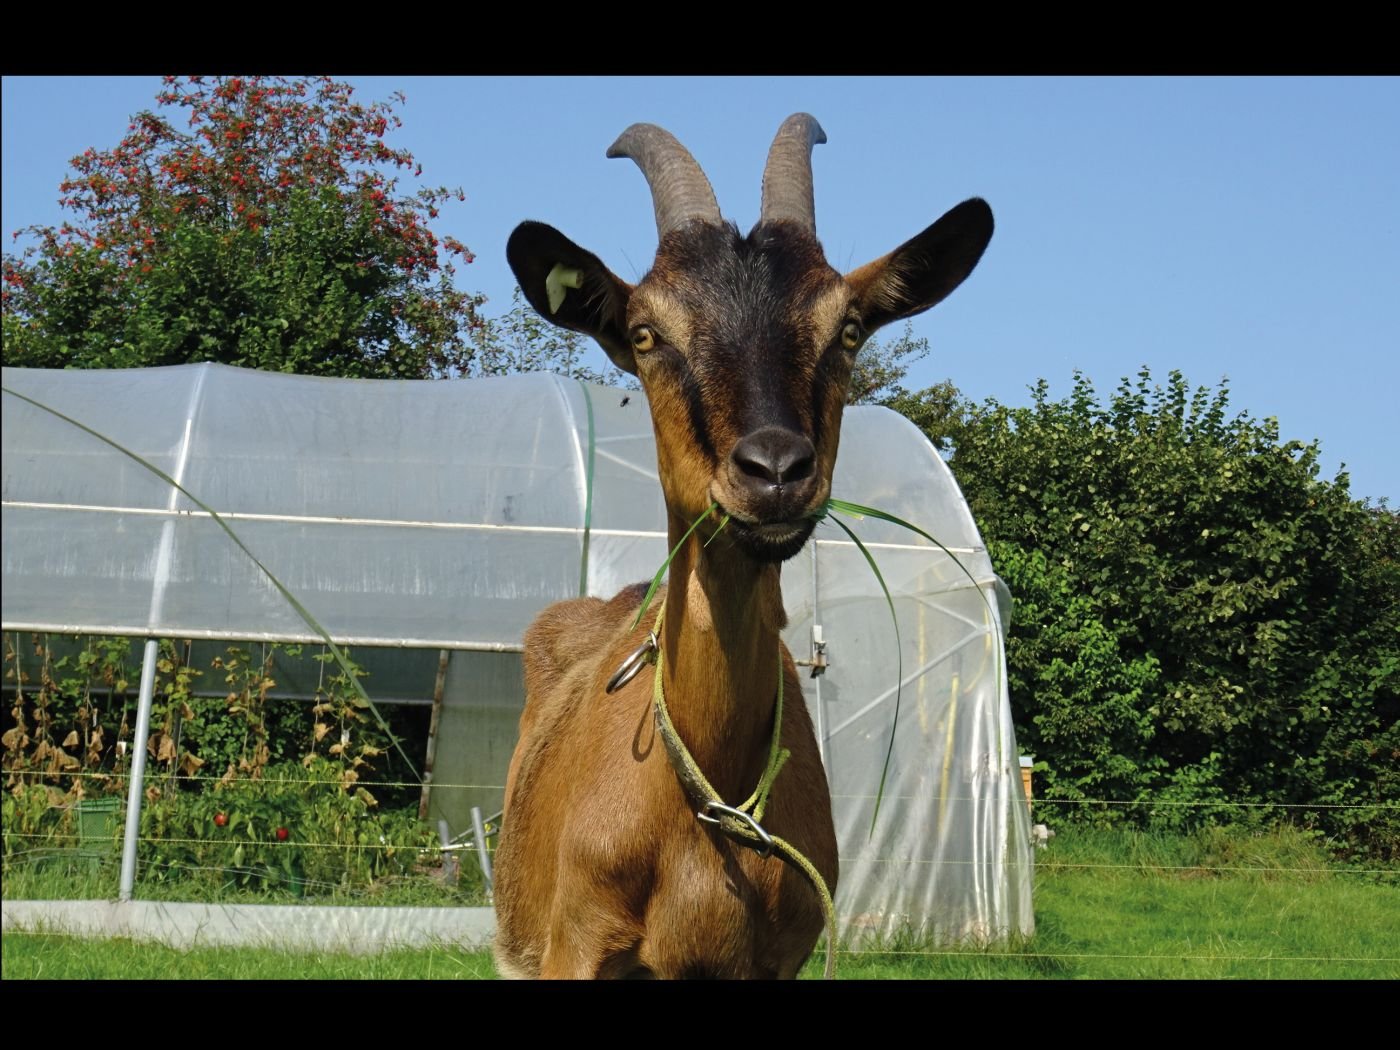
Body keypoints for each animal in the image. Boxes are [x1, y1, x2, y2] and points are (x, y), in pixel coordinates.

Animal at [493, 115, 993, 979]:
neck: (708, 793)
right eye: (645, 332)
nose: (774, 471)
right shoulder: (574, 945)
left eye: (848, 329)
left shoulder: (779, 958)